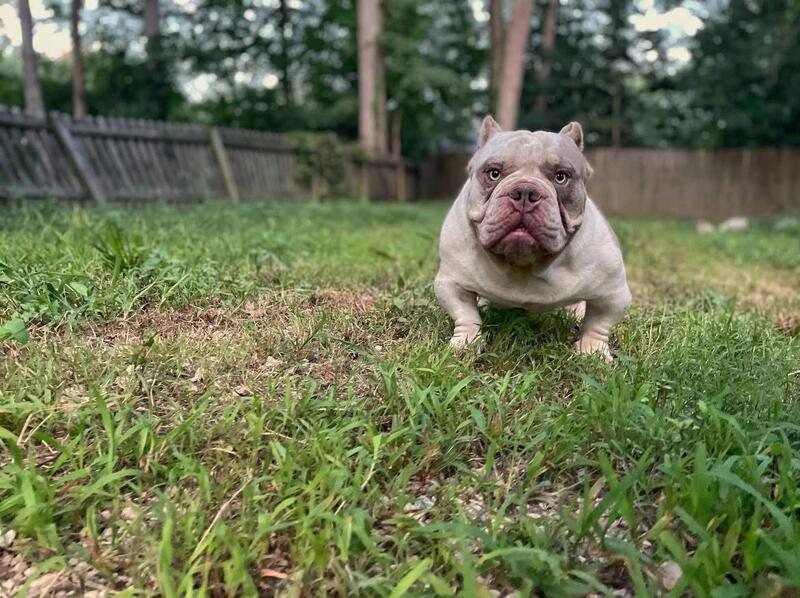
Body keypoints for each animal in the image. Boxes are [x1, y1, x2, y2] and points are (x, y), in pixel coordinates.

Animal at [434, 116, 631, 359]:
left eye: (561, 177)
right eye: (494, 173)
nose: (525, 192)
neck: (524, 264)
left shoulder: (612, 294)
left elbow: (598, 324)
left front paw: (593, 351)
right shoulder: (452, 283)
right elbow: (465, 315)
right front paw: (466, 342)